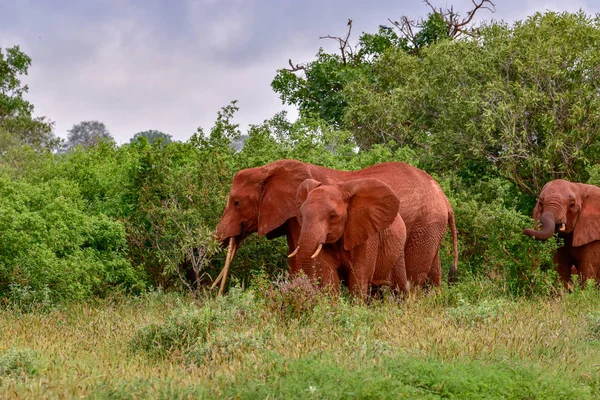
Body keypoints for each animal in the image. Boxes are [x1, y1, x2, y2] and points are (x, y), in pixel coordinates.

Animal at [213, 159, 458, 294]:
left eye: (236, 202)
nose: (215, 294)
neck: (269, 168)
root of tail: (445, 198)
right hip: (430, 228)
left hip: (424, 224)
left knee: (415, 275)